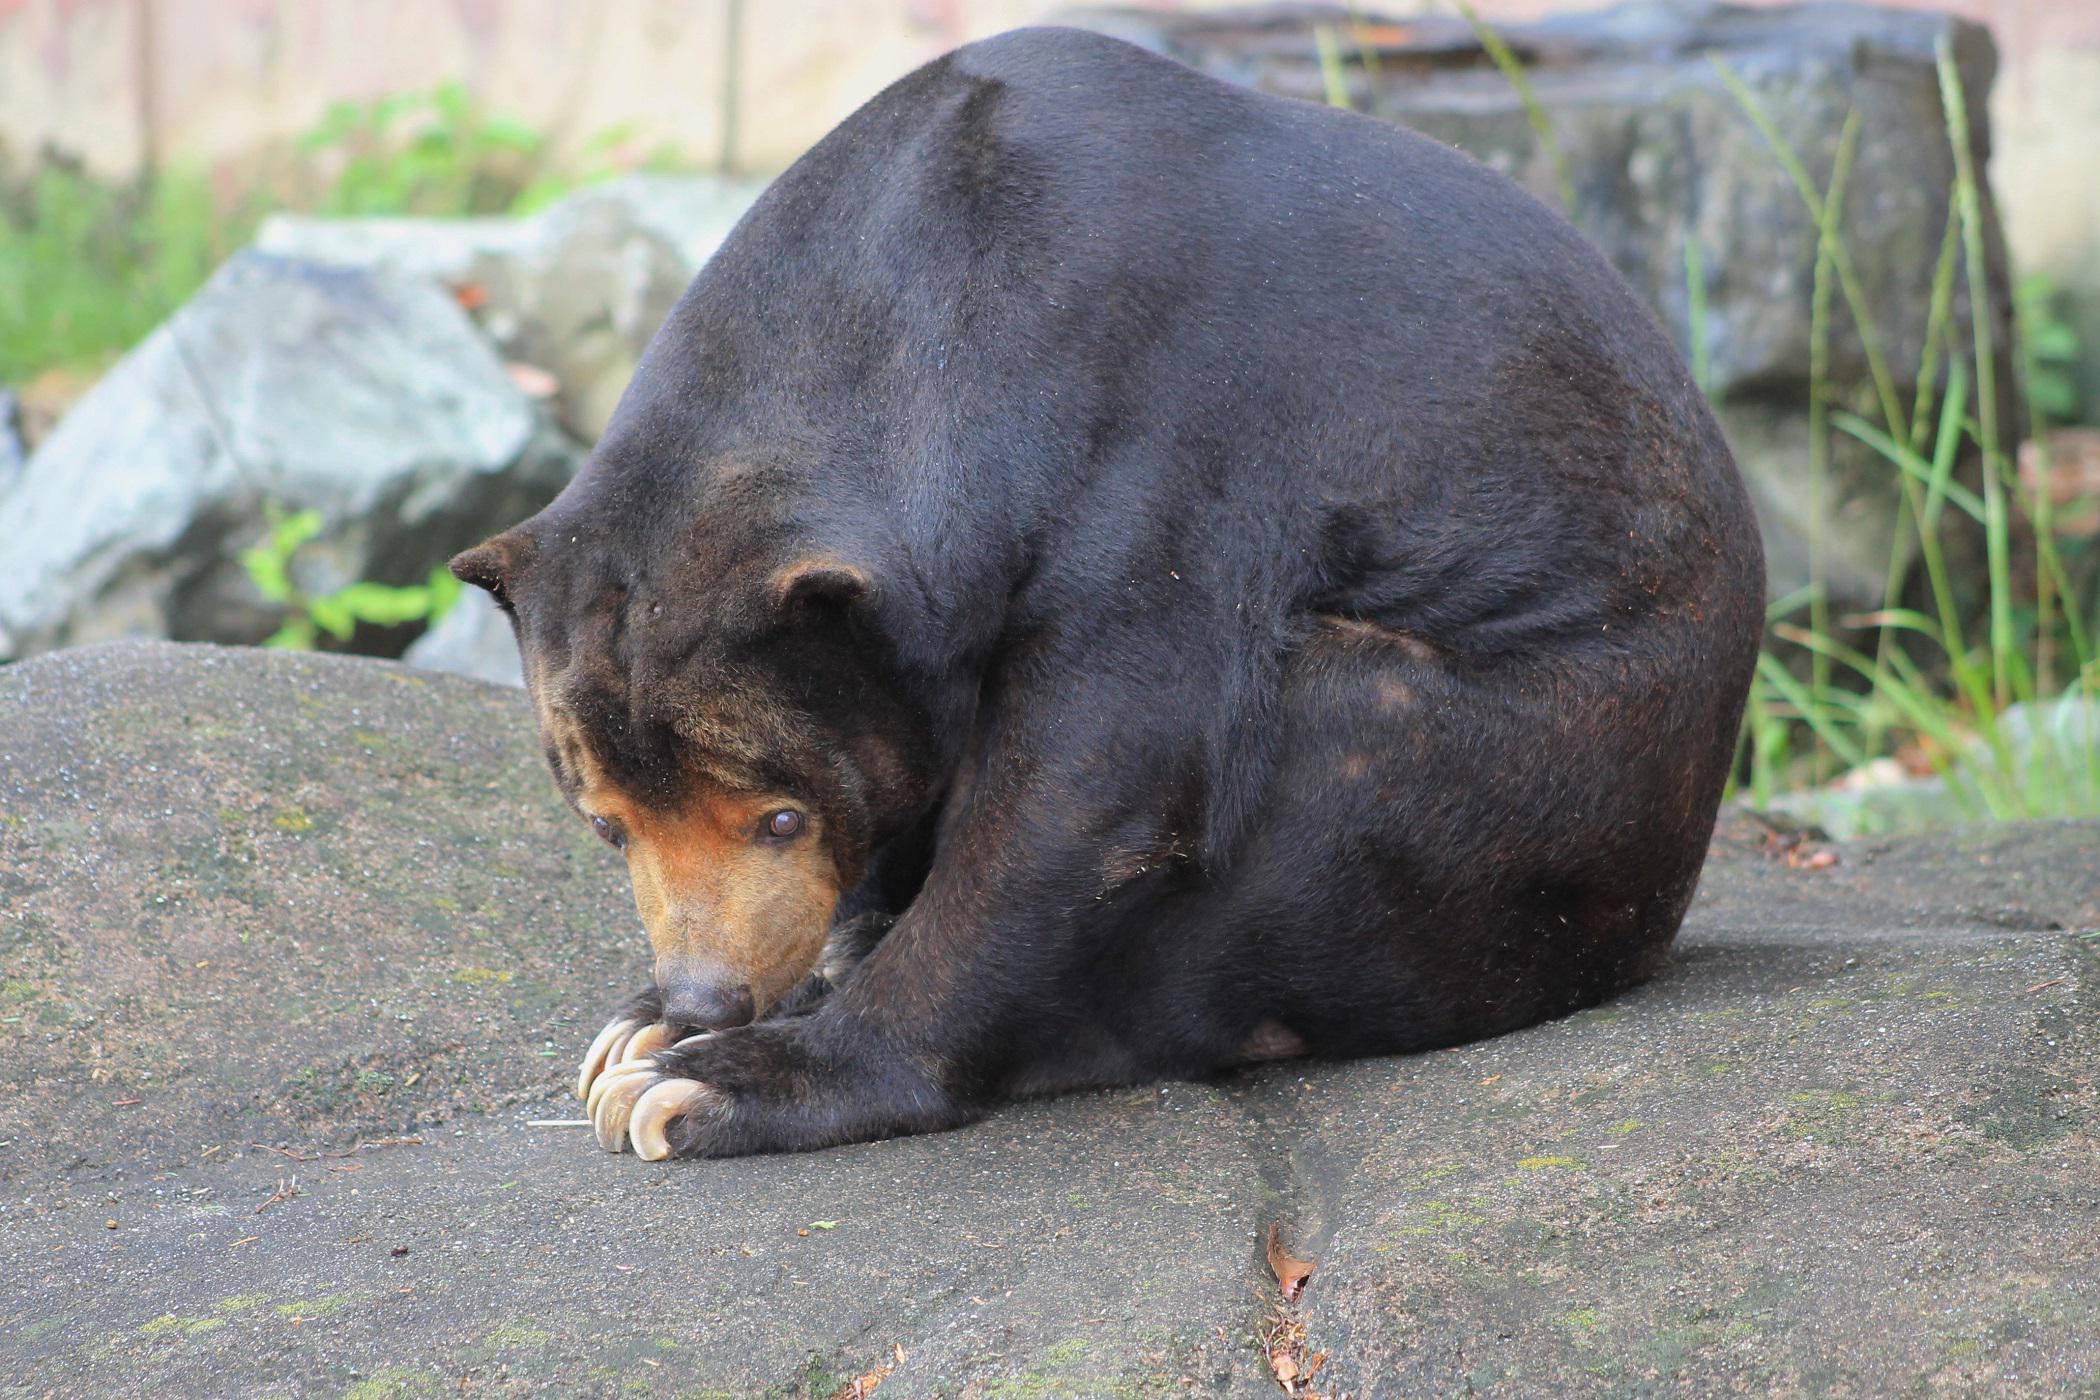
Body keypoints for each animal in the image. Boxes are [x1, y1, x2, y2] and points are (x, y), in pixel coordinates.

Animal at [451, 27, 1763, 1158]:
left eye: (780, 813)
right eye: (607, 823)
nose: (709, 989)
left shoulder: (1166, 453)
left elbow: (1100, 771)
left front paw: (719, 1076)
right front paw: (658, 1018)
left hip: (1515, 779)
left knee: (1314, 764)